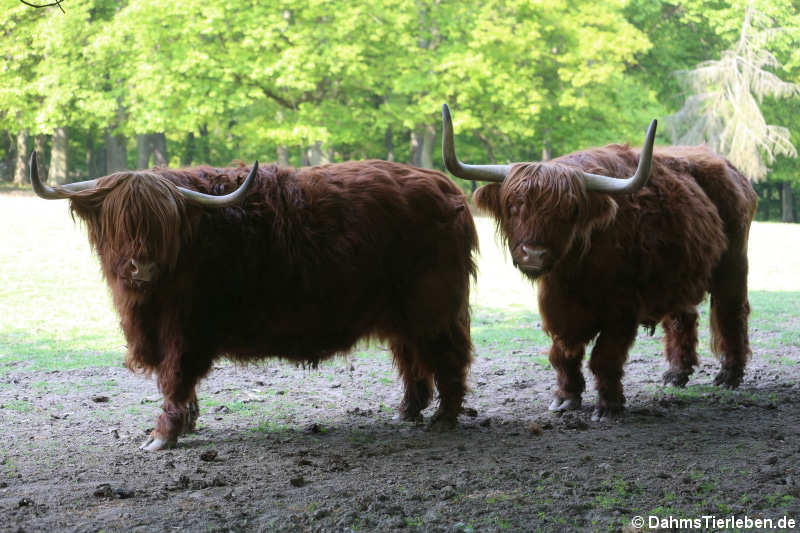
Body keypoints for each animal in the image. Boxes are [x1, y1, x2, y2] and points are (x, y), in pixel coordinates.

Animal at [31, 153, 478, 448]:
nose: (143, 266)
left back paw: (444, 418)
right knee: (411, 356)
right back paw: (409, 410)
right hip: (401, 311)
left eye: (164, 224)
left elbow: (175, 378)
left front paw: (163, 434)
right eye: (120, 221)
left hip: (434, 305)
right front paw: (187, 422)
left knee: (448, 355)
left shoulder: (187, 330)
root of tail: (444, 185)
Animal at [444, 104, 756, 420]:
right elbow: (562, 355)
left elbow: (604, 358)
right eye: (514, 205)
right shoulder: (557, 310)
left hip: (733, 264)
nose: (533, 254)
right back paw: (676, 374)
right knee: (683, 317)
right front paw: (565, 398)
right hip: (677, 272)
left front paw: (608, 406)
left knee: (732, 312)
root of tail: (731, 169)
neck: (573, 272)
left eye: (570, 210)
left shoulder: (621, 310)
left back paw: (729, 375)